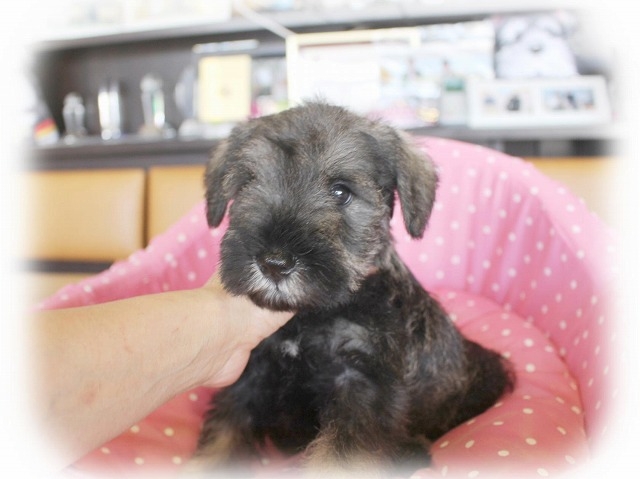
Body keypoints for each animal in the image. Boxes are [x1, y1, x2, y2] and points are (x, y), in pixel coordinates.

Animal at [191, 102, 514, 477]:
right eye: (247, 184)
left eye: (341, 191)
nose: (274, 262)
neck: (309, 318)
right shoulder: (249, 377)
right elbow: (221, 440)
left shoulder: (361, 387)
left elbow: (340, 458)